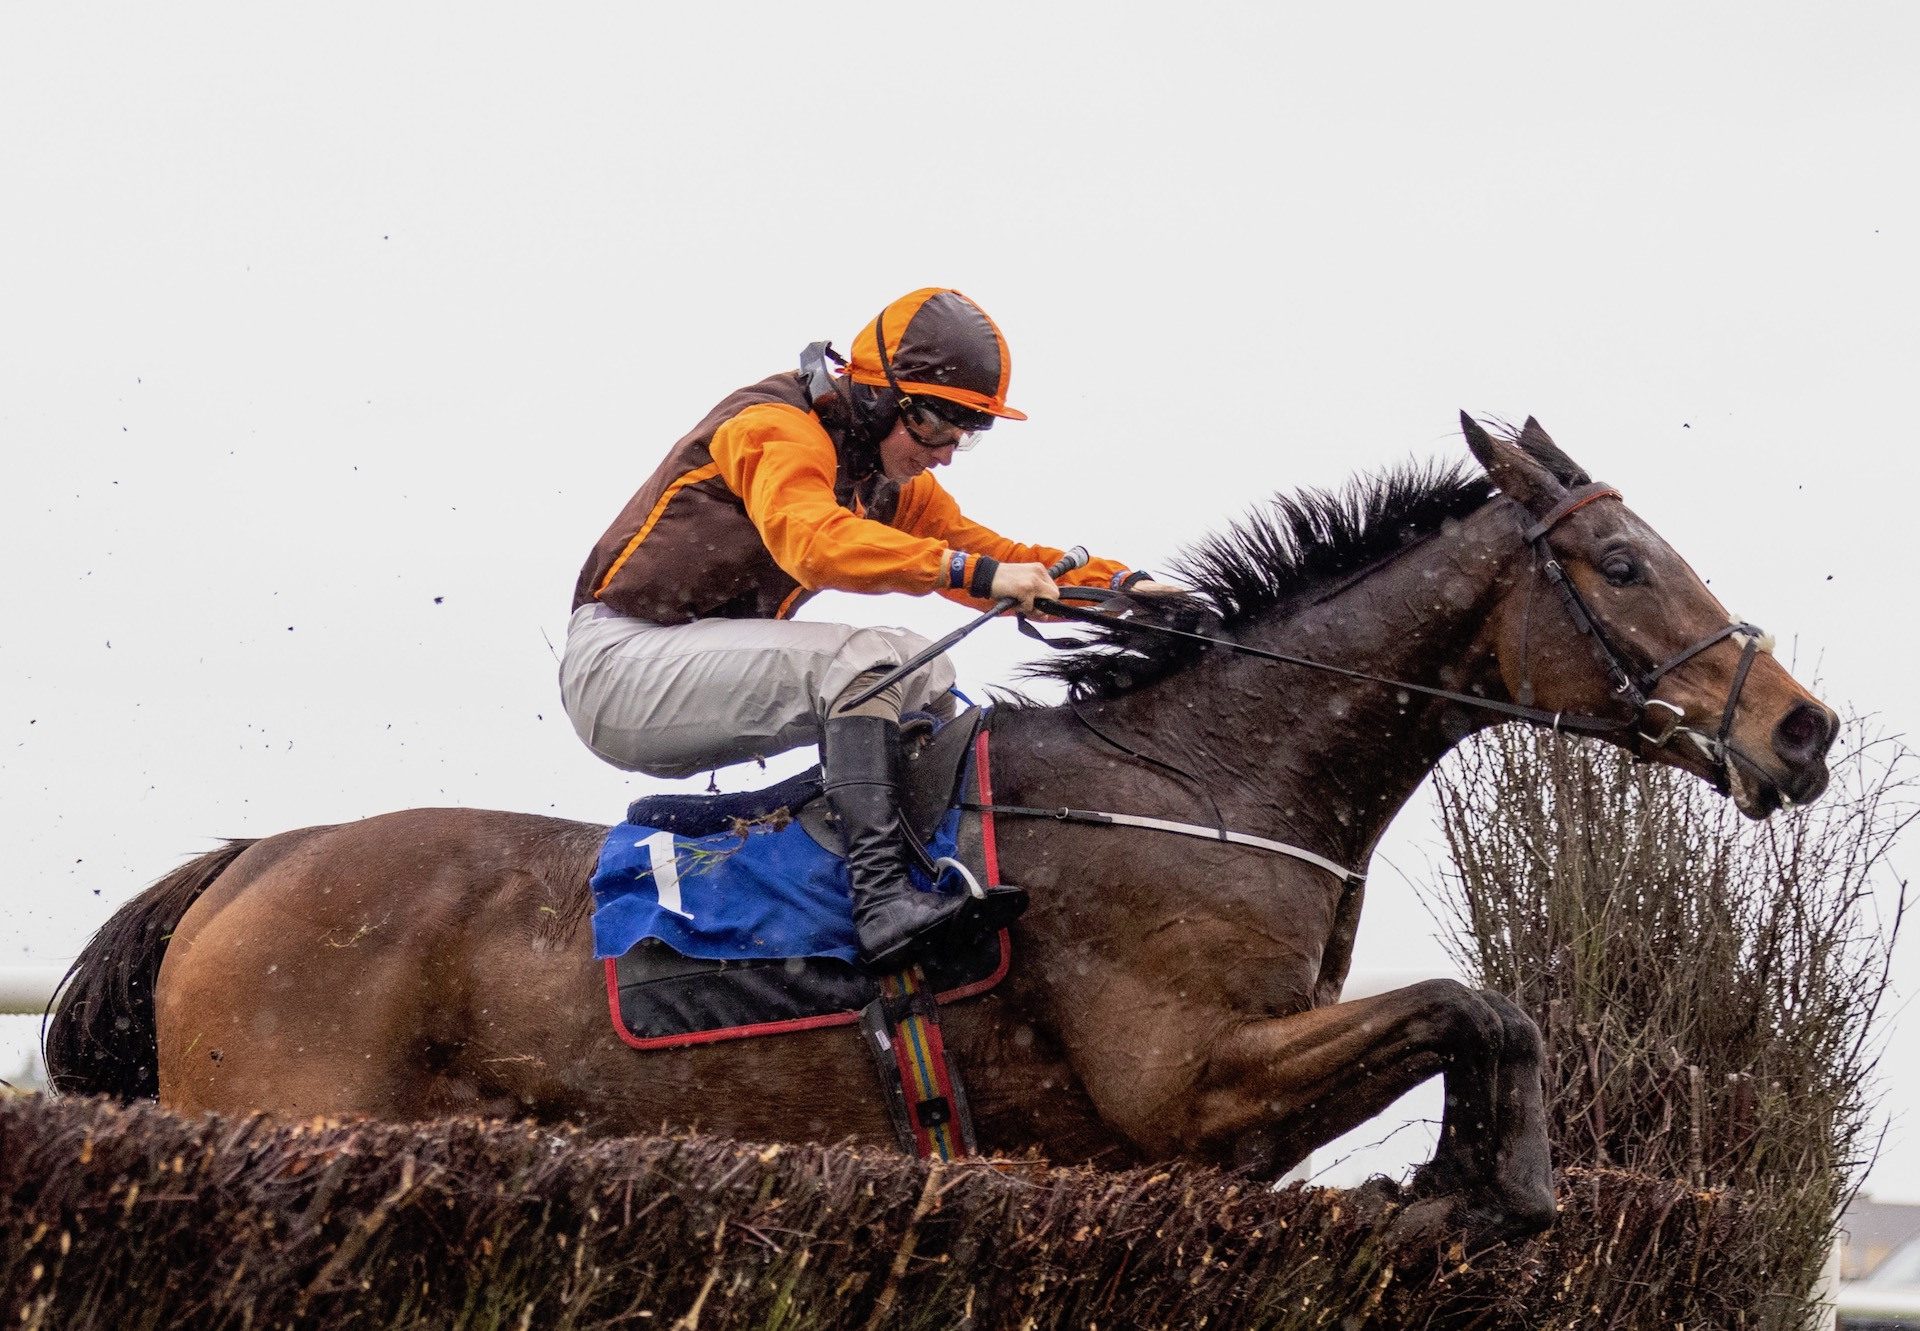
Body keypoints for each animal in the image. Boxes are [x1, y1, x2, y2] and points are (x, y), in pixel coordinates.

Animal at [45, 414, 1827, 1244]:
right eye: (1621, 563)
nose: (1798, 729)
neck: (1201, 782)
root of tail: (249, 858)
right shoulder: (1184, 1084)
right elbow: (1481, 1001)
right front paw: (1486, 1185)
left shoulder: (1217, 1126)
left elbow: (1472, 1016)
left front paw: (1453, 1178)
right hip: (284, 1110)